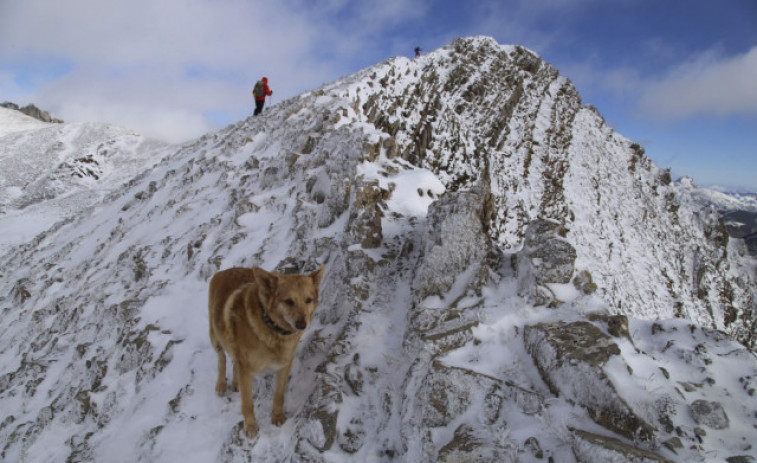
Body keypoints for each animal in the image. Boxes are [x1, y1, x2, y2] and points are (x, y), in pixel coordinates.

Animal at [208, 266, 324, 436]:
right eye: (288, 301)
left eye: (308, 300)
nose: (302, 324)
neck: (271, 326)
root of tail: (225, 270)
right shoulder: (246, 369)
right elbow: (247, 402)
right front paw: (250, 426)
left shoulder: (283, 365)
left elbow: (279, 395)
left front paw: (277, 416)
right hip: (215, 336)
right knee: (221, 358)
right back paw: (221, 384)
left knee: (234, 360)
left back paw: (235, 382)